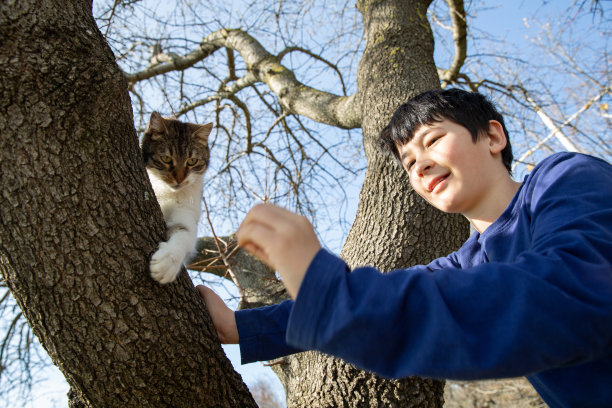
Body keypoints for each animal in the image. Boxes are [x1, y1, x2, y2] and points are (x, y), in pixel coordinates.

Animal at [140, 111, 213, 284]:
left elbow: (184, 233)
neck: (167, 192)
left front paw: (167, 263)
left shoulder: (186, 213)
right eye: (166, 158)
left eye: (192, 161)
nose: (179, 179)